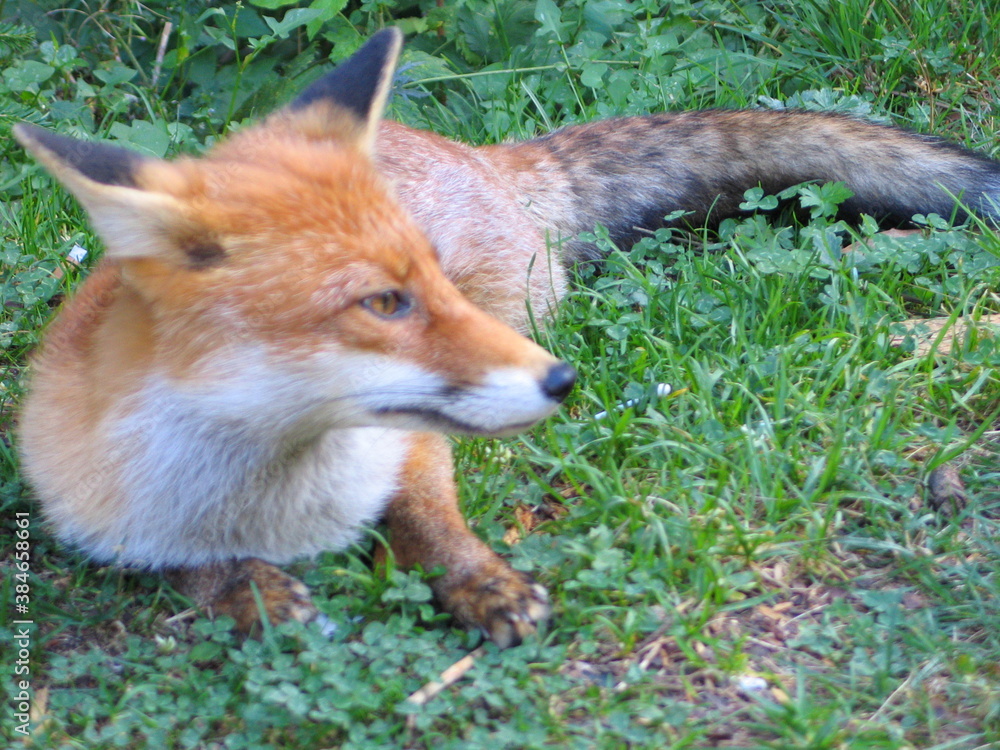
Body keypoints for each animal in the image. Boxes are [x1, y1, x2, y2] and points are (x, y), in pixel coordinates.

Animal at [14, 28, 1000, 647]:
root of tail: (482, 154)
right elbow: (186, 564)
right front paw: (248, 593)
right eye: (381, 304)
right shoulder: (100, 509)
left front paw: (482, 585)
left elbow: (429, 520)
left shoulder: (411, 440)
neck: (286, 496)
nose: (561, 382)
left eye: (427, 284)